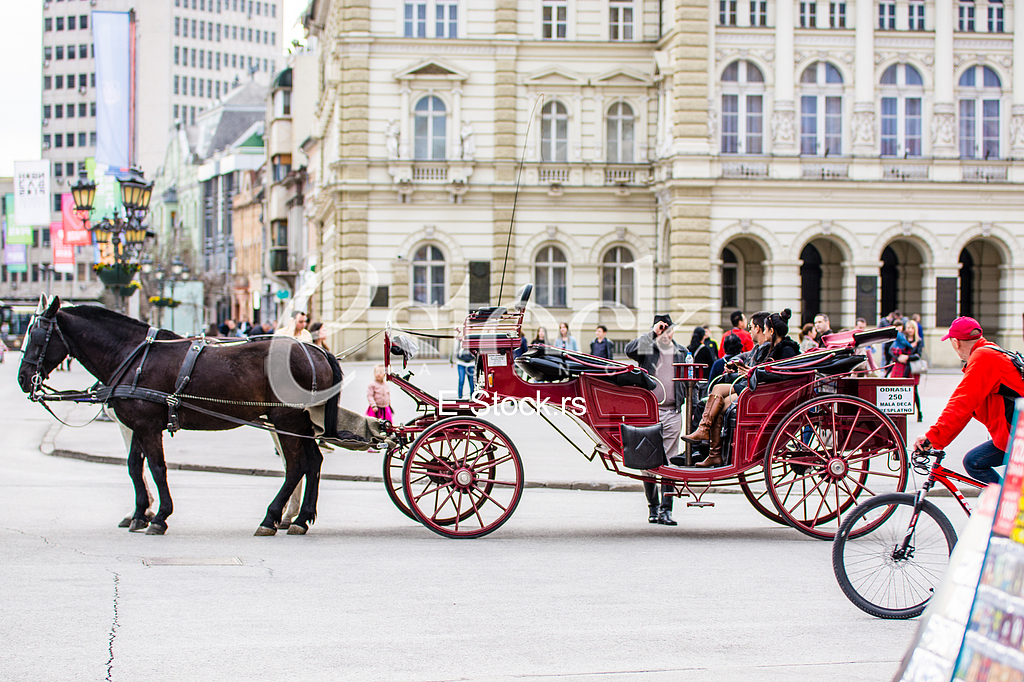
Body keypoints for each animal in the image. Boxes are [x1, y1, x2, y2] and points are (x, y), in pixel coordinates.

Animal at [17, 296, 344, 536]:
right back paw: (300, 518)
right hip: (301, 422)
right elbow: (135, 466)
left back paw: (271, 517)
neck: (136, 357)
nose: (22, 378)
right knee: (313, 462)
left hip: (286, 419)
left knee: (296, 467)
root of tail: (316, 351)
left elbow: (157, 468)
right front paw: (139, 513)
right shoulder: (137, 425)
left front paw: (159, 516)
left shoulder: (148, 426)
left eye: (37, 335)